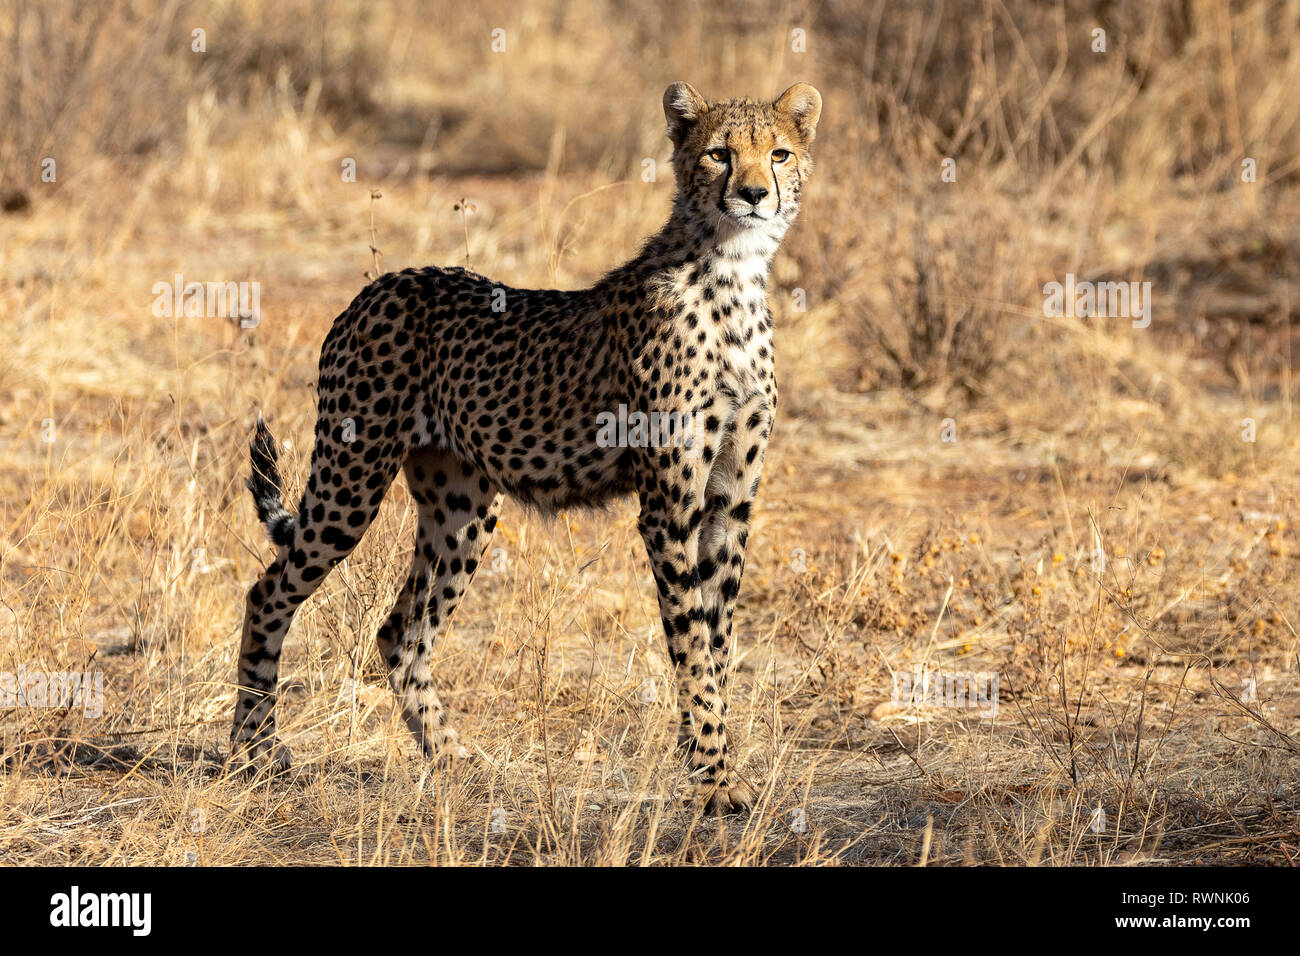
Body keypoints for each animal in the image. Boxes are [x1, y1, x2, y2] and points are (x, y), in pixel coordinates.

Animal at [233, 82, 821, 816]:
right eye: (719, 153)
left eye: (779, 153)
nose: (753, 194)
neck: (732, 274)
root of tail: (380, 285)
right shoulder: (670, 507)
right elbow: (689, 639)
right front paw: (714, 776)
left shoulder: (729, 504)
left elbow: (715, 640)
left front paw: (706, 758)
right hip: (353, 475)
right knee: (269, 592)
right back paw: (254, 751)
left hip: (461, 509)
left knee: (401, 631)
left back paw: (452, 757)